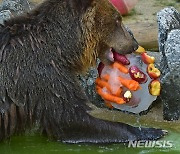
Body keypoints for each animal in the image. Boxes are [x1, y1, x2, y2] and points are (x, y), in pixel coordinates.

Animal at [0, 0, 166, 144]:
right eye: (117, 20)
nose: (134, 44)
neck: (62, 50)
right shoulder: (42, 75)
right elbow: (69, 119)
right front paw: (152, 131)